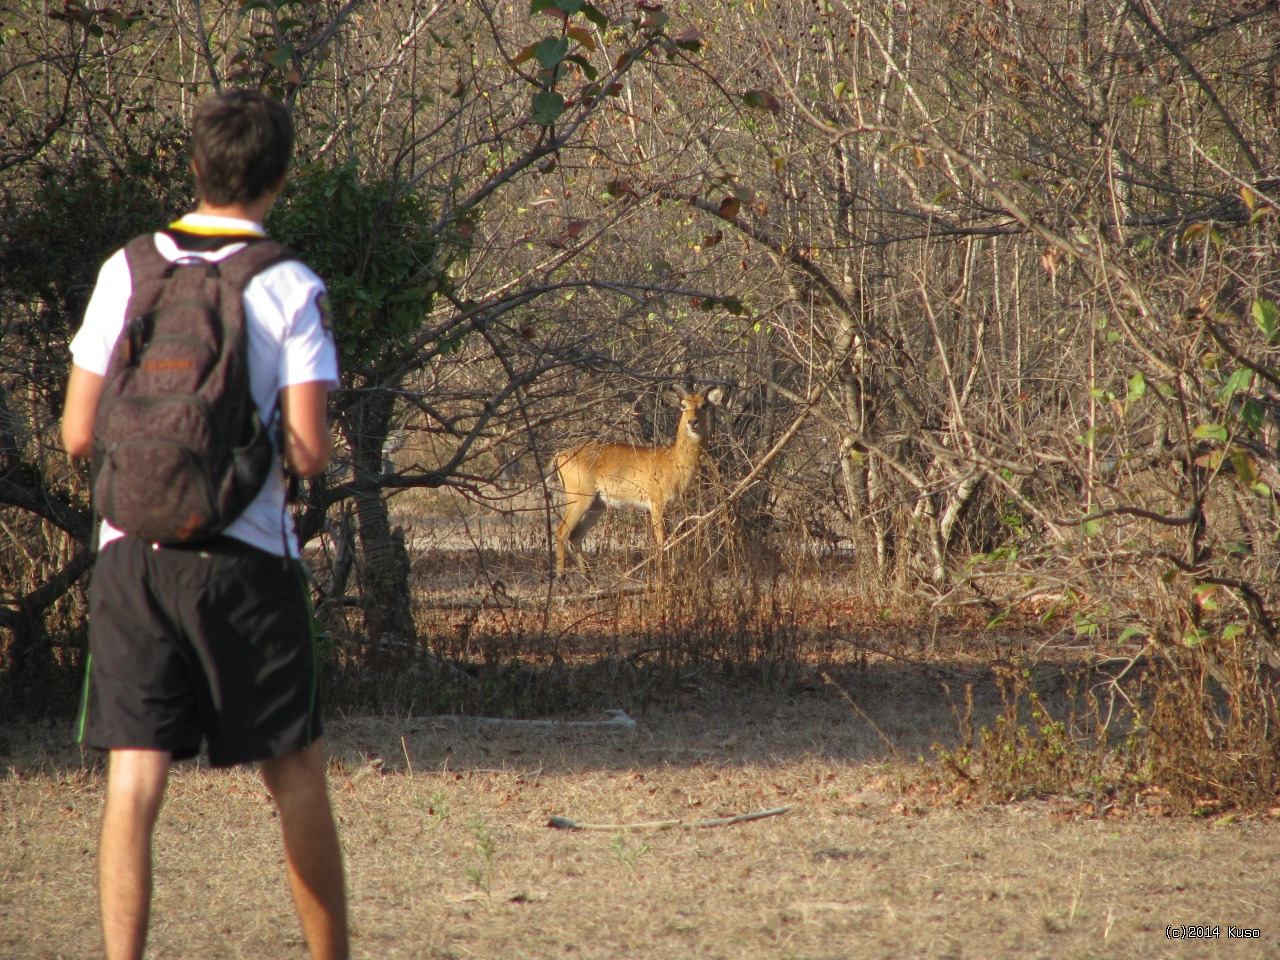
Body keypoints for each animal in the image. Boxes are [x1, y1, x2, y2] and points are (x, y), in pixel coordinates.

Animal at [555, 386, 727, 576]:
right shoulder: (657, 503)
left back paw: (587, 577)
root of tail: (560, 455)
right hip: (579, 499)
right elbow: (662, 541)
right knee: (561, 531)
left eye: (704, 405)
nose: (692, 422)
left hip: (597, 504)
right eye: (683, 405)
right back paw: (561, 577)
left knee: (576, 535)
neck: (674, 460)